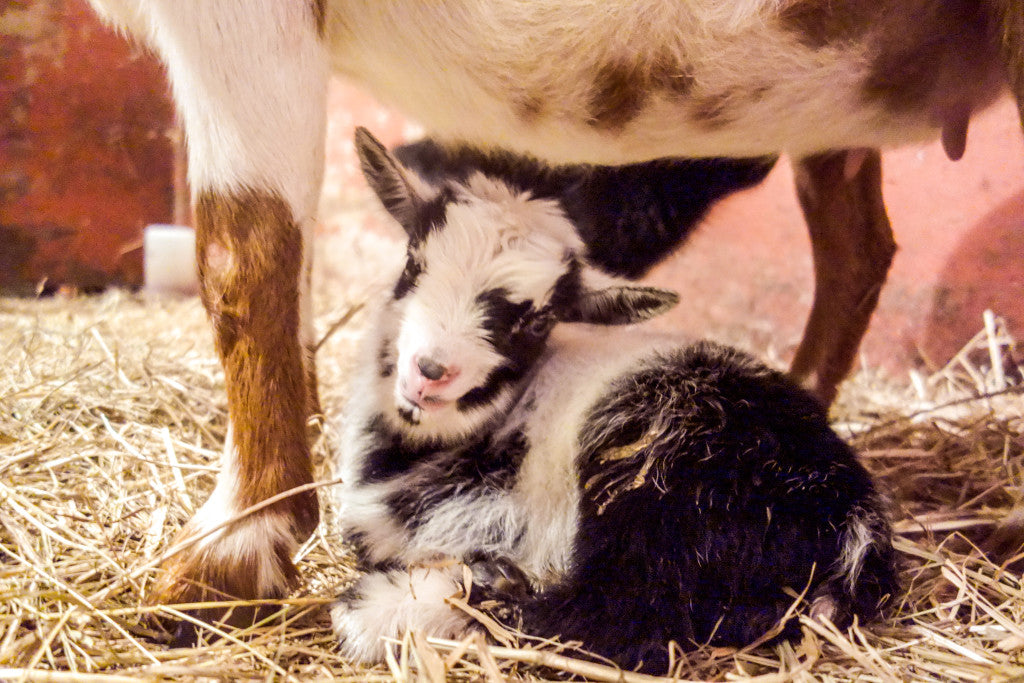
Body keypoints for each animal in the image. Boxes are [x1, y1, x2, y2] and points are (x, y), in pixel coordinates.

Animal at [84, 0, 1020, 610]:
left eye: (532, 317)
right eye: (412, 264)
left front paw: (235, 546)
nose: (429, 372)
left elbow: (243, 255)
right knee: (858, 245)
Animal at [331, 128, 899, 673]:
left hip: (659, 485)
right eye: (413, 263)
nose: (429, 372)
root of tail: (855, 525)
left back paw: (380, 612)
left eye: (538, 321)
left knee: (615, 618)